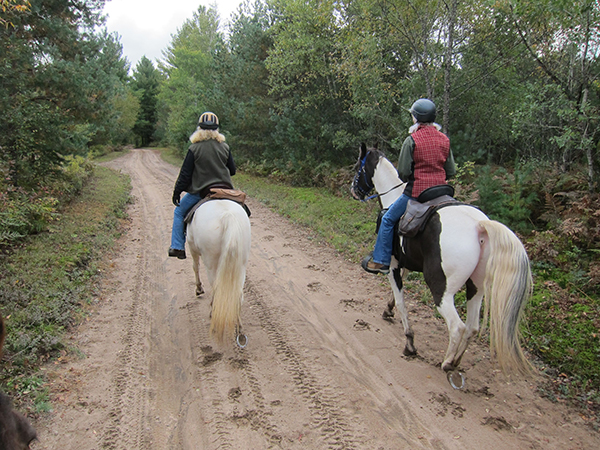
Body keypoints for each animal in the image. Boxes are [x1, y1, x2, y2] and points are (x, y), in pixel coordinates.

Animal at [189, 196, 252, 344]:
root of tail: (229, 217)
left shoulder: (191, 246)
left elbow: (195, 267)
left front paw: (199, 289)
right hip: (241, 264)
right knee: (238, 295)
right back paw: (240, 330)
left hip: (211, 263)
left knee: (216, 288)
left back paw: (213, 313)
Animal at [352, 144, 536, 376]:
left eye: (358, 166)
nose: (353, 190)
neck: (393, 196)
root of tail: (479, 226)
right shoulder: (405, 263)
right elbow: (398, 293)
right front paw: (388, 309)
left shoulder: (392, 265)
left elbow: (402, 301)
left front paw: (409, 343)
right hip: (476, 287)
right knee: (472, 327)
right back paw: (455, 361)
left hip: (441, 289)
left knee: (457, 326)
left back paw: (446, 362)